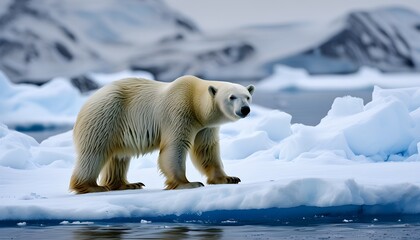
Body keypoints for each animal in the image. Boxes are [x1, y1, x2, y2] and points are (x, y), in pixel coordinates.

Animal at [69, 75, 254, 193]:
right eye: (232, 97)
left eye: (247, 96)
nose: (245, 109)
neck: (195, 101)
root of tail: (87, 102)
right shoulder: (179, 111)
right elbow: (175, 147)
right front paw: (189, 183)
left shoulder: (205, 127)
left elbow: (206, 150)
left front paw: (229, 178)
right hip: (107, 115)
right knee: (94, 152)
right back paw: (92, 186)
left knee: (119, 157)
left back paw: (128, 184)